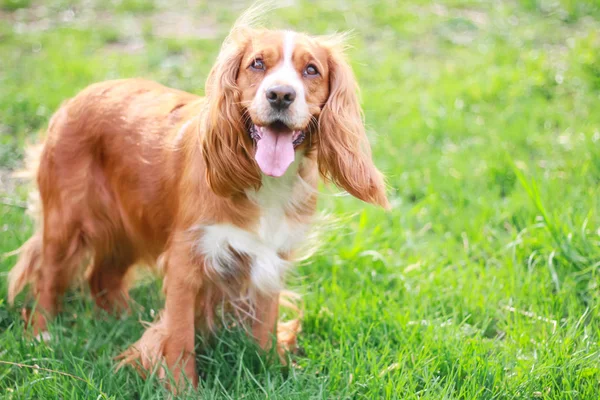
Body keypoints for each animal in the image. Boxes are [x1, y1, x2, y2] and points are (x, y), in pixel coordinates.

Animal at [7, 4, 392, 390]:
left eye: (311, 70)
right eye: (257, 64)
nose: (281, 95)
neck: (263, 180)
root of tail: (76, 98)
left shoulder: (272, 259)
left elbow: (264, 330)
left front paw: (269, 371)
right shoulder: (186, 261)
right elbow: (179, 339)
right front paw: (181, 388)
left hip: (128, 225)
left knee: (102, 278)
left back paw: (124, 320)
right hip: (66, 221)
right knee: (47, 279)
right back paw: (42, 335)